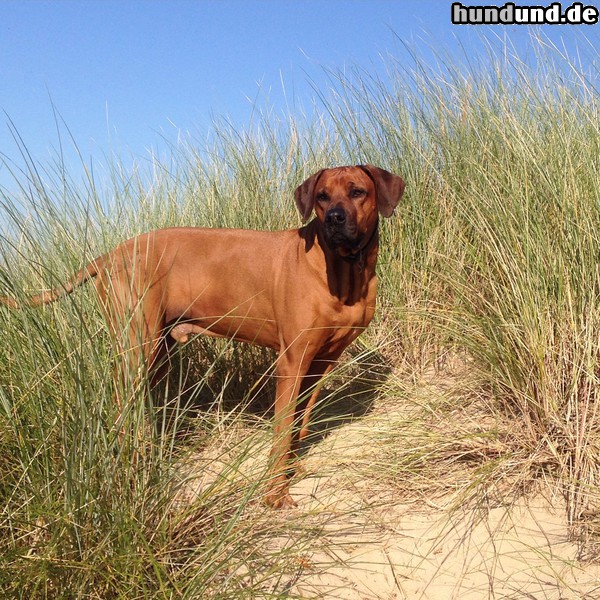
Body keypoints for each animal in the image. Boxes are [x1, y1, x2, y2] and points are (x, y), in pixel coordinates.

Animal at [2, 164, 406, 506]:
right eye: (322, 196)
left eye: (357, 191)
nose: (335, 219)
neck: (343, 268)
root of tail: (113, 253)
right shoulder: (291, 362)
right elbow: (281, 430)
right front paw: (275, 494)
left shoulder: (320, 363)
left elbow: (297, 425)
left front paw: (291, 470)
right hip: (137, 348)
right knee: (121, 408)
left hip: (158, 352)